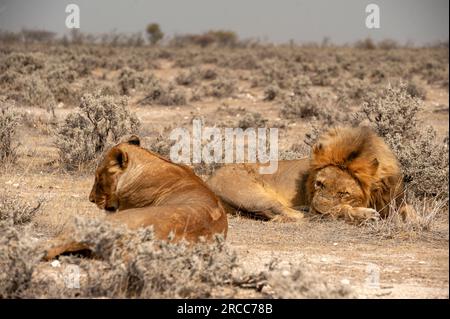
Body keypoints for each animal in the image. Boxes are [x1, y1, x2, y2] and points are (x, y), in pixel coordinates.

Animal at [206, 126, 416, 224]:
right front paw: (365, 214)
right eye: (319, 184)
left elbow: (410, 211)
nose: (318, 208)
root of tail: (208, 180)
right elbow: (340, 210)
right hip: (252, 195)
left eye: (344, 193)